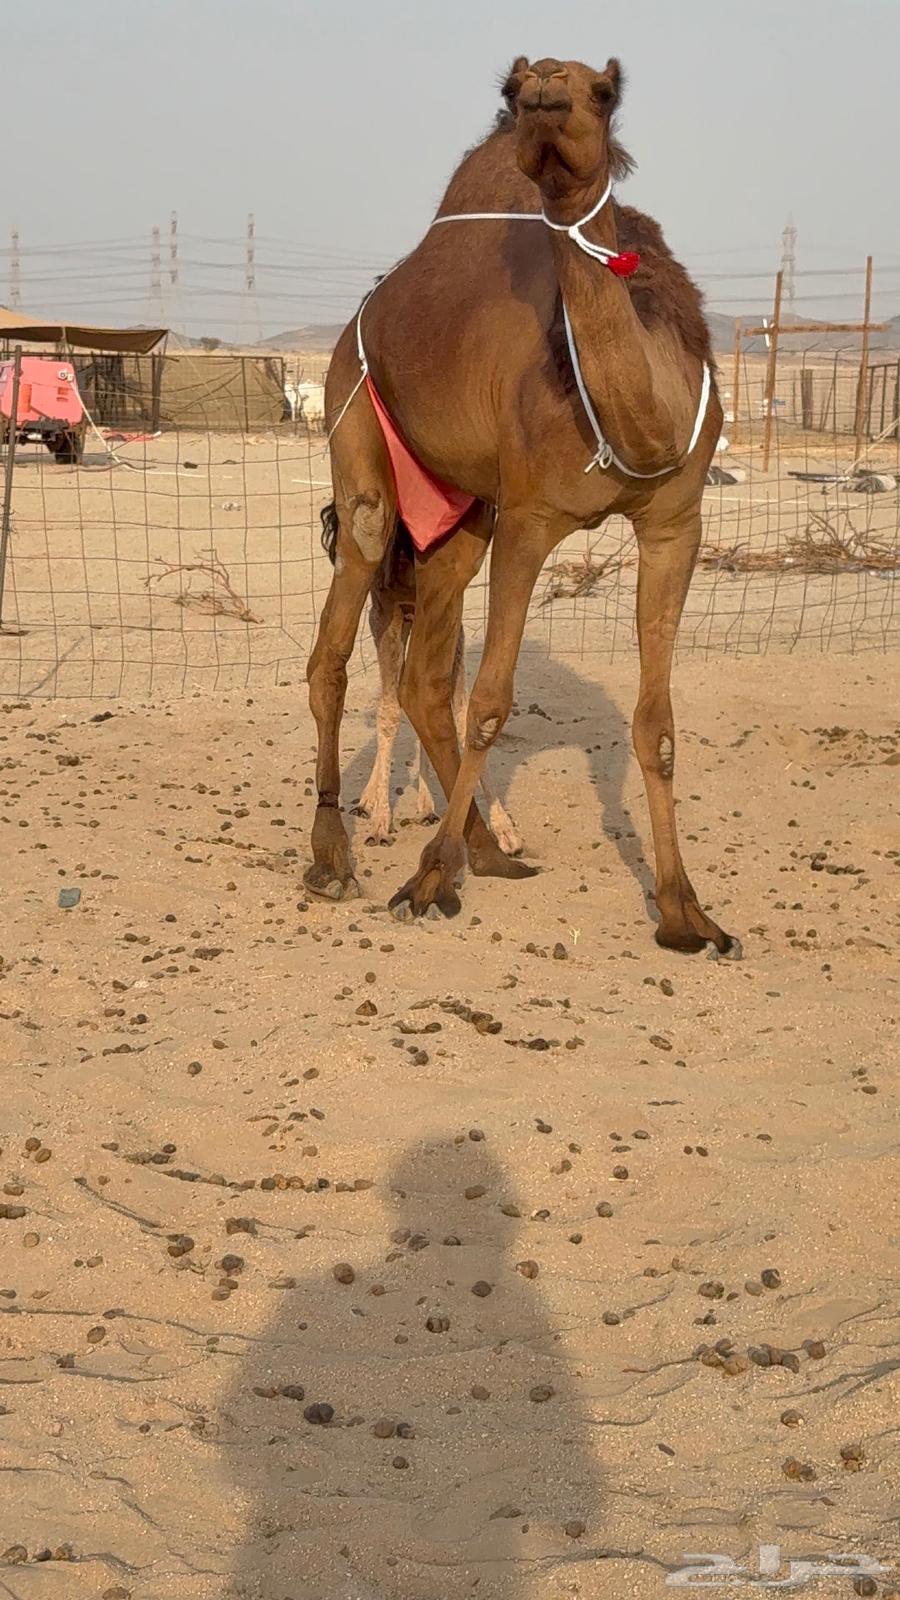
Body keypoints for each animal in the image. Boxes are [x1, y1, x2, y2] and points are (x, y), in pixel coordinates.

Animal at [306, 54, 740, 957]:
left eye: (605, 91)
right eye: (513, 89)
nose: (544, 87)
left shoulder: (676, 524)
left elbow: (656, 724)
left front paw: (686, 913)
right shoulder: (533, 521)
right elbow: (491, 703)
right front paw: (425, 884)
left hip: (464, 511)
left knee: (424, 677)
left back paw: (484, 849)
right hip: (355, 421)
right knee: (338, 642)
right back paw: (335, 857)